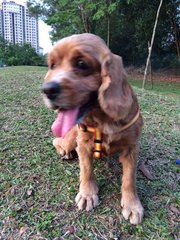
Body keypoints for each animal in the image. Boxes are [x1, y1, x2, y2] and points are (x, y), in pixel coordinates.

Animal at [41, 32, 143, 224]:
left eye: (82, 64)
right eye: (52, 66)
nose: (46, 90)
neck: (102, 119)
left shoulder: (131, 148)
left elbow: (129, 179)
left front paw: (132, 205)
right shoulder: (83, 144)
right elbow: (86, 170)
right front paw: (87, 195)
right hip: (70, 138)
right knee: (57, 140)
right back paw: (65, 152)